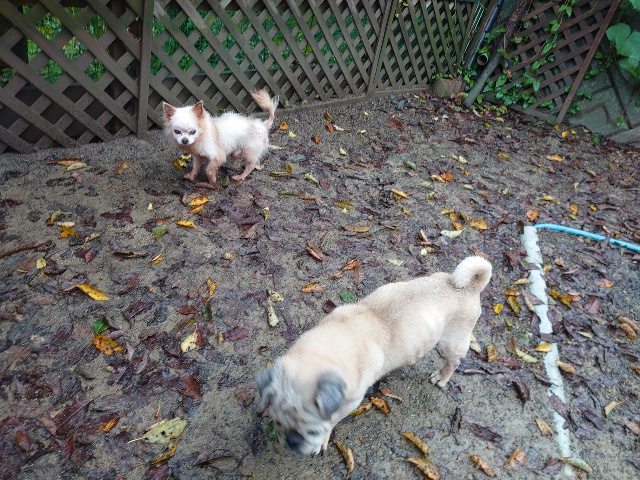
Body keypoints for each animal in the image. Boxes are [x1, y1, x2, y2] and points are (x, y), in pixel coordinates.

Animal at [257, 256, 492, 455]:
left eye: (312, 432)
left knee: (454, 362)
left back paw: (441, 377)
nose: (291, 442)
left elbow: (331, 421)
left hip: (449, 343)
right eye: (277, 421)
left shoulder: (349, 403)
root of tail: (470, 287)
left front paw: (323, 439)